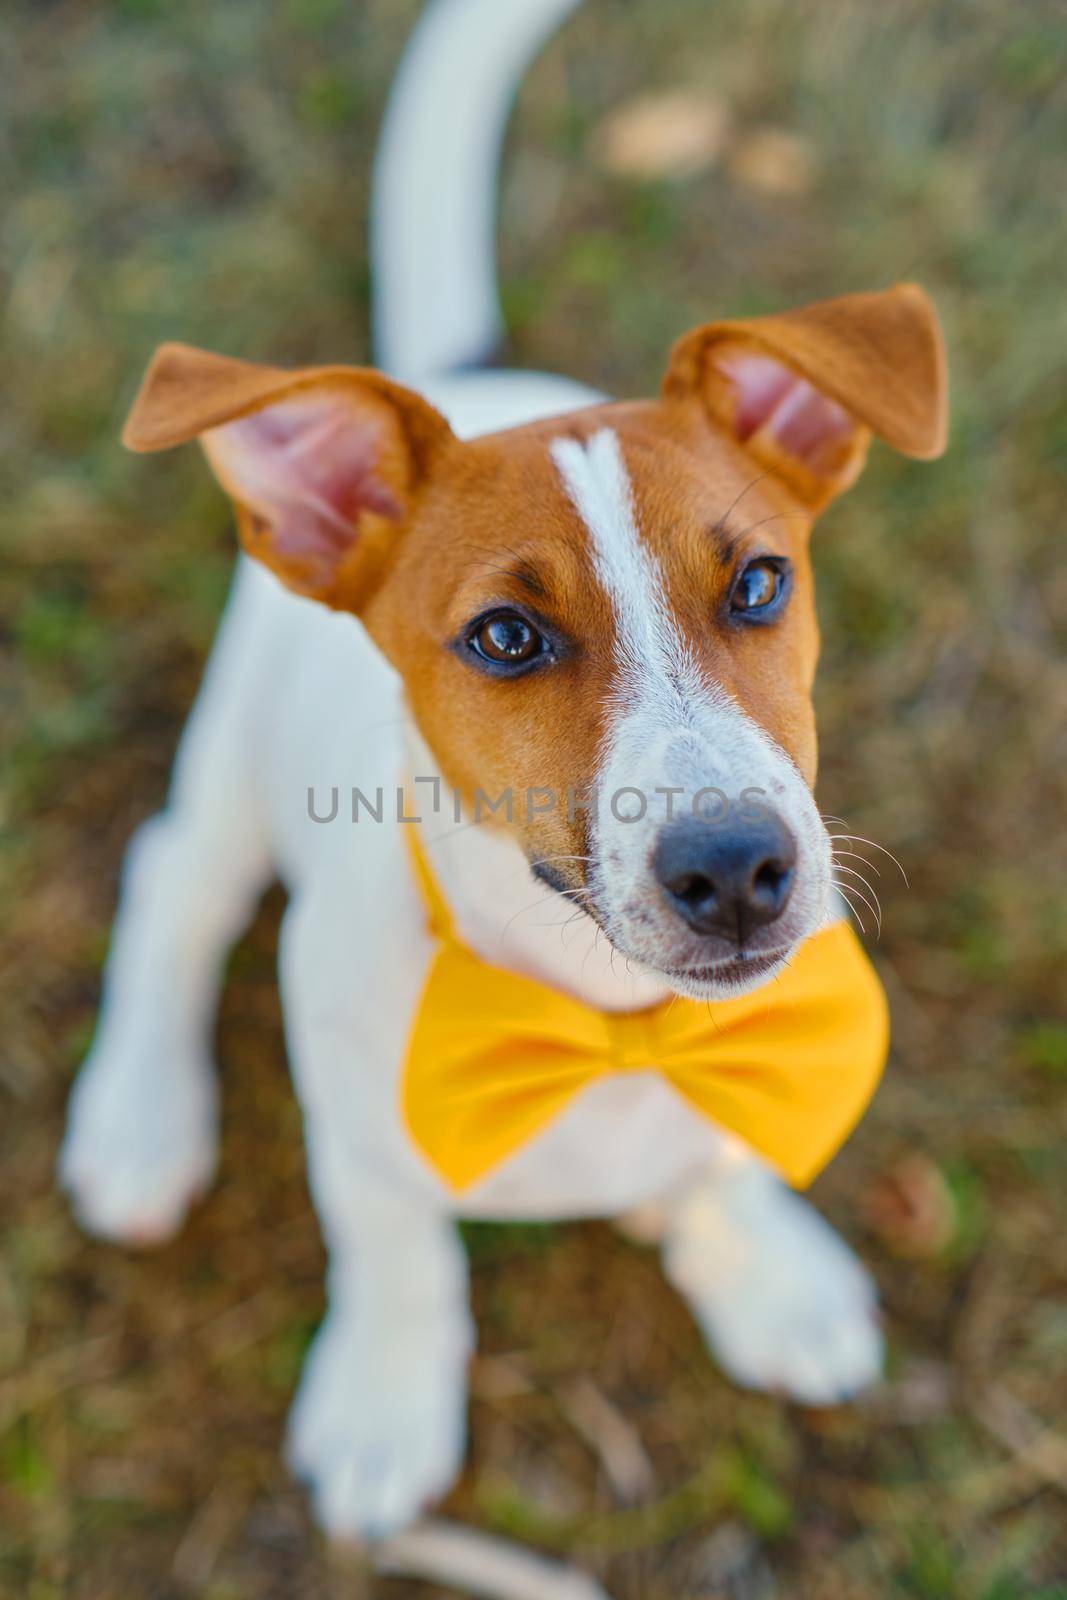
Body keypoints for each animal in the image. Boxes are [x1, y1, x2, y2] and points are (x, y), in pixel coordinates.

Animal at [60, 0, 940, 1542]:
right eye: (506, 638)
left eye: (759, 583)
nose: (735, 869)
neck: (600, 1012)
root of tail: (470, 374)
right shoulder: (357, 1127)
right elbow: (397, 1245)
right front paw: (383, 1401)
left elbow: (719, 1153)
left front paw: (758, 1265)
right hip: (233, 753)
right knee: (174, 882)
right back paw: (141, 1121)